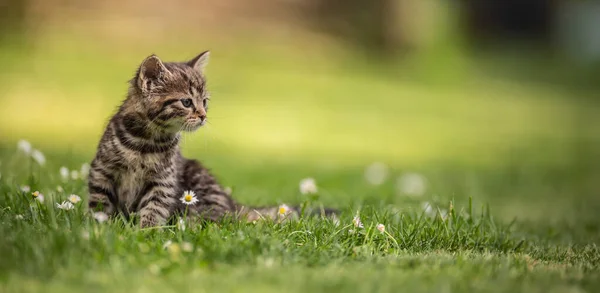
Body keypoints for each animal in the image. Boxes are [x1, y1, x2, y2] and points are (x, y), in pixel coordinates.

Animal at [86, 52, 336, 226]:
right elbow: (99, 203)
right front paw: (97, 227)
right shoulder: (102, 171)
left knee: (217, 219)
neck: (147, 141)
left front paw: (146, 232)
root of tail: (233, 204)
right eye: (187, 102)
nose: (203, 115)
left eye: (204, 102)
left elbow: (154, 208)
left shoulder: (163, 182)